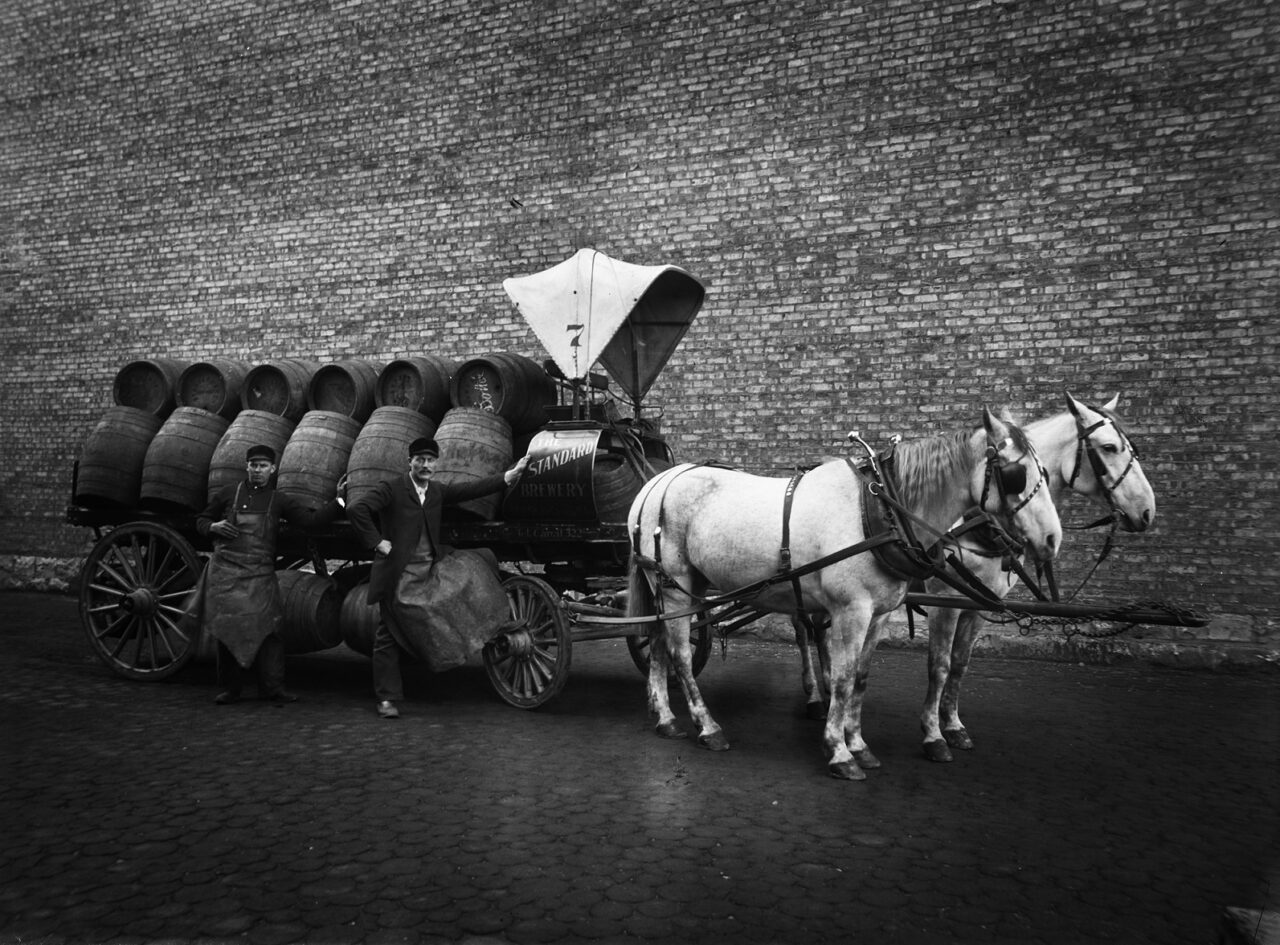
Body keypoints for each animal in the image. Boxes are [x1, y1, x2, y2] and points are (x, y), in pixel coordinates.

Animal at [627, 407, 1059, 778]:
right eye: (1017, 474)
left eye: (1047, 471)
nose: (1053, 539)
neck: (881, 511)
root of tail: (655, 484)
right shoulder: (853, 610)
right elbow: (843, 675)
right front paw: (839, 751)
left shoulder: (880, 613)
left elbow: (862, 677)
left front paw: (859, 744)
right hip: (675, 584)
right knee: (680, 654)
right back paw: (707, 726)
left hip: (679, 586)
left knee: (657, 641)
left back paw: (665, 717)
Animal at [793, 389, 1157, 758]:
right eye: (1109, 447)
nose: (1146, 511)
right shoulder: (946, 602)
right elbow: (939, 666)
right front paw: (933, 734)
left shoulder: (980, 605)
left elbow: (960, 664)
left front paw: (953, 725)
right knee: (803, 633)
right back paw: (814, 696)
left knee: (820, 631)